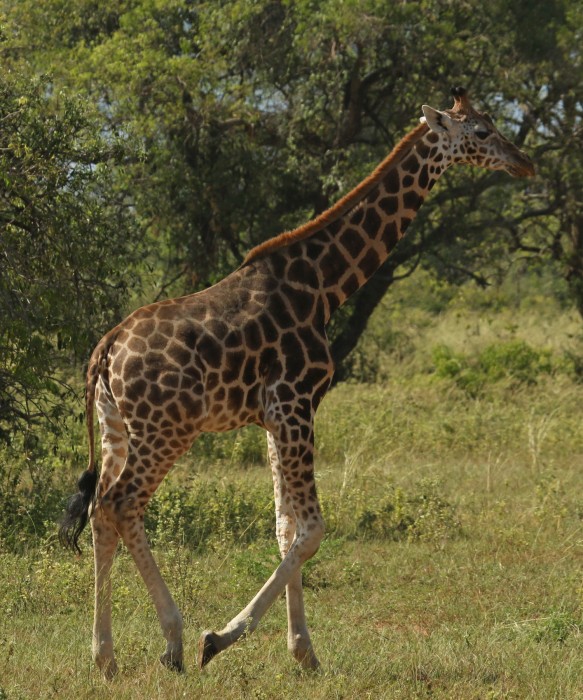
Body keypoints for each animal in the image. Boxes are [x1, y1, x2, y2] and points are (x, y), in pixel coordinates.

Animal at [58, 87, 532, 680]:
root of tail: (105, 350)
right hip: (166, 429)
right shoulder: (296, 401)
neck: (326, 285)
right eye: (482, 132)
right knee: (122, 505)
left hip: (117, 427)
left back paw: (106, 658)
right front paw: (222, 639)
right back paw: (173, 642)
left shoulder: (273, 415)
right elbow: (313, 529)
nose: (525, 162)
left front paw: (303, 651)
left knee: (101, 510)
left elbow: (286, 526)